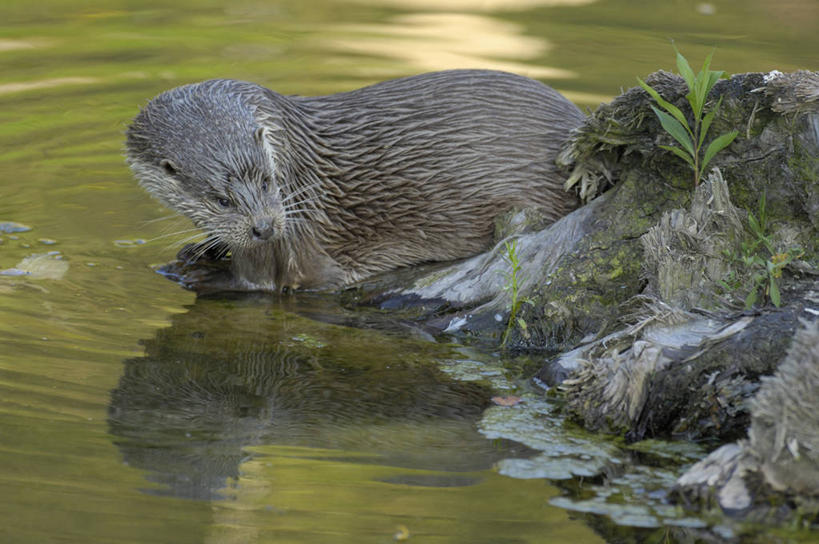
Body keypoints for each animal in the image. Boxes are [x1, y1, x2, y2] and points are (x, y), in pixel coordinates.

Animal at [125, 70, 588, 292]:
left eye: (268, 181)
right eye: (221, 200)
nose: (264, 227)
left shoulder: (292, 243)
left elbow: (262, 283)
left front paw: (201, 274)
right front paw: (201, 248)